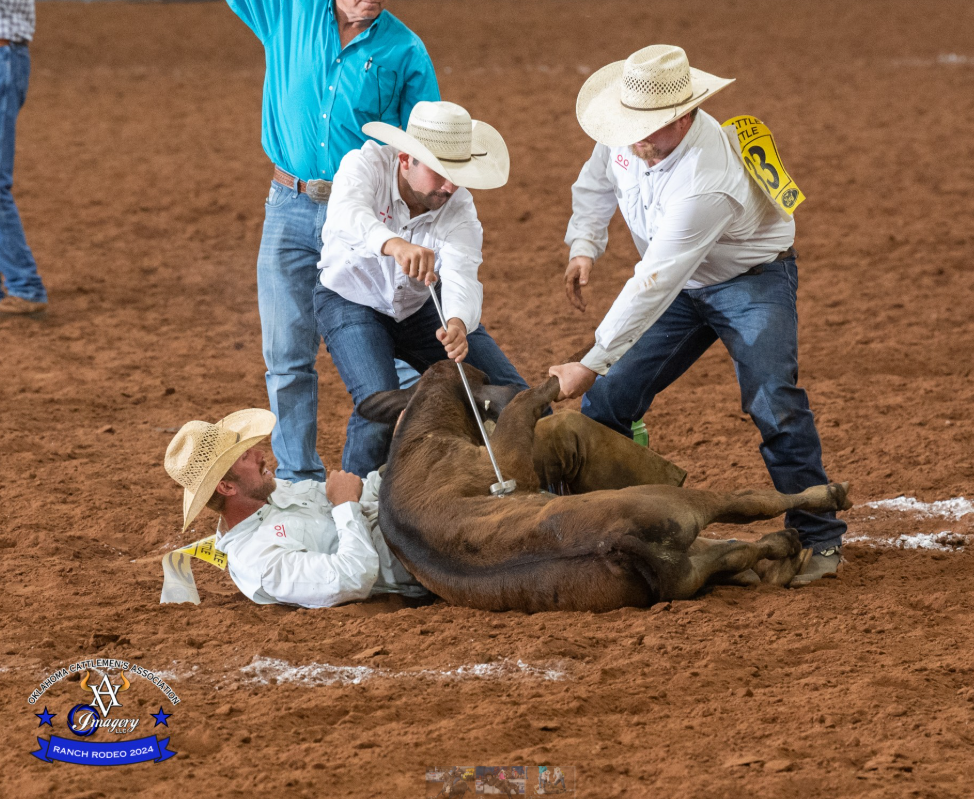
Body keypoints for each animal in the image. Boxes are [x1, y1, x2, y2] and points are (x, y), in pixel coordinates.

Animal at [358, 361, 851, 613]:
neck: (417, 440)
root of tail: (617, 542)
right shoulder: (508, 455)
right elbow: (525, 405)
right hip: (677, 506)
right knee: (748, 507)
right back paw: (824, 500)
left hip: (684, 574)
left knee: (737, 552)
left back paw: (786, 552)